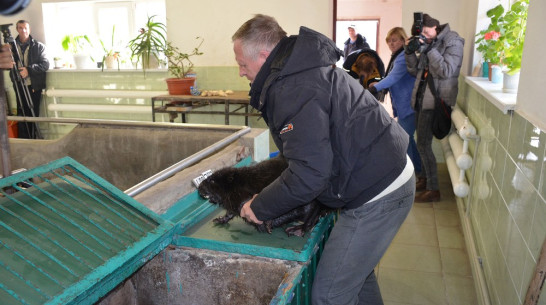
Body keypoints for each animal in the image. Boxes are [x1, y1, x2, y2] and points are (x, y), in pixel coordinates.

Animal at [198, 156, 330, 236]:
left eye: (212, 180)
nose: (199, 188)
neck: (242, 183)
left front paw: (267, 224)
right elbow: (230, 212)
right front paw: (219, 219)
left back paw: (297, 229)